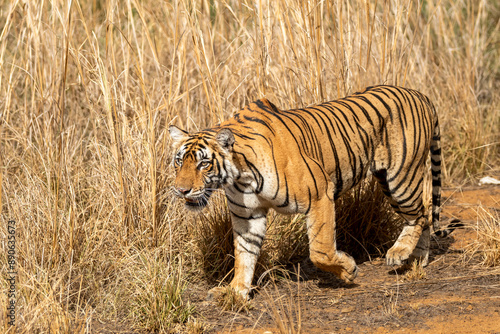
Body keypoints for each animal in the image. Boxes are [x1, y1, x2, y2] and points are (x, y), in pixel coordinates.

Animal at [169, 84, 460, 298]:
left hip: (400, 178)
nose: (181, 190)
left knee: (420, 213)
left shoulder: (320, 194)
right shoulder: (247, 216)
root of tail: (421, 94)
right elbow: (244, 255)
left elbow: (320, 250)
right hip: (388, 181)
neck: (241, 177)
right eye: (179, 161)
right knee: (424, 212)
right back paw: (417, 260)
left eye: (204, 164)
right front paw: (235, 291)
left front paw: (348, 270)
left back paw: (400, 253)